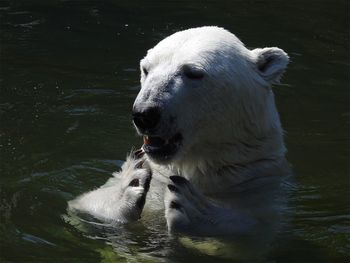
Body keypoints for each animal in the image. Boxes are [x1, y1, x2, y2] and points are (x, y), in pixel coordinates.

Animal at [67, 25, 290, 238]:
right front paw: (132, 179)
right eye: (146, 68)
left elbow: (253, 230)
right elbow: (84, 207)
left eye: (193, 72)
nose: (144, 113)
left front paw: (193, 206)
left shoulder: (261, 186)